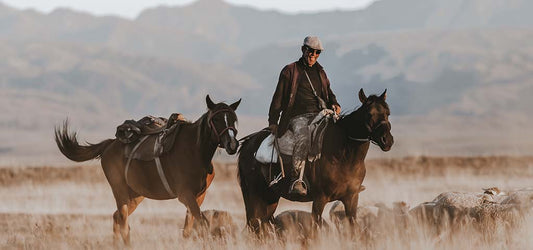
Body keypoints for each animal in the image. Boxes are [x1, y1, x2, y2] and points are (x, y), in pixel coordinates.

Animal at [53, 94, 239, 245]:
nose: (232, 144)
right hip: (120, 191)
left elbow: (188, 229)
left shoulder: (198, 196)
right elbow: (203, 224)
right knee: (123, 223)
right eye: (216, 119)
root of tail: (109, 145)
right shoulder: (186, 195)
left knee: (117, 218)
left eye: (233, 119)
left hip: (136, 195)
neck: (194, 150)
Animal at [237, 89, 390, 232]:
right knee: (254, 225)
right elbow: (315, 230)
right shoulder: (319, 199)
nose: (387, 140)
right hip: (255, 195)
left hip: (270, 198)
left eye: (387, 113)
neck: (343, 157)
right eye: (369, 114)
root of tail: (248, 143)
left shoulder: (351, 198)